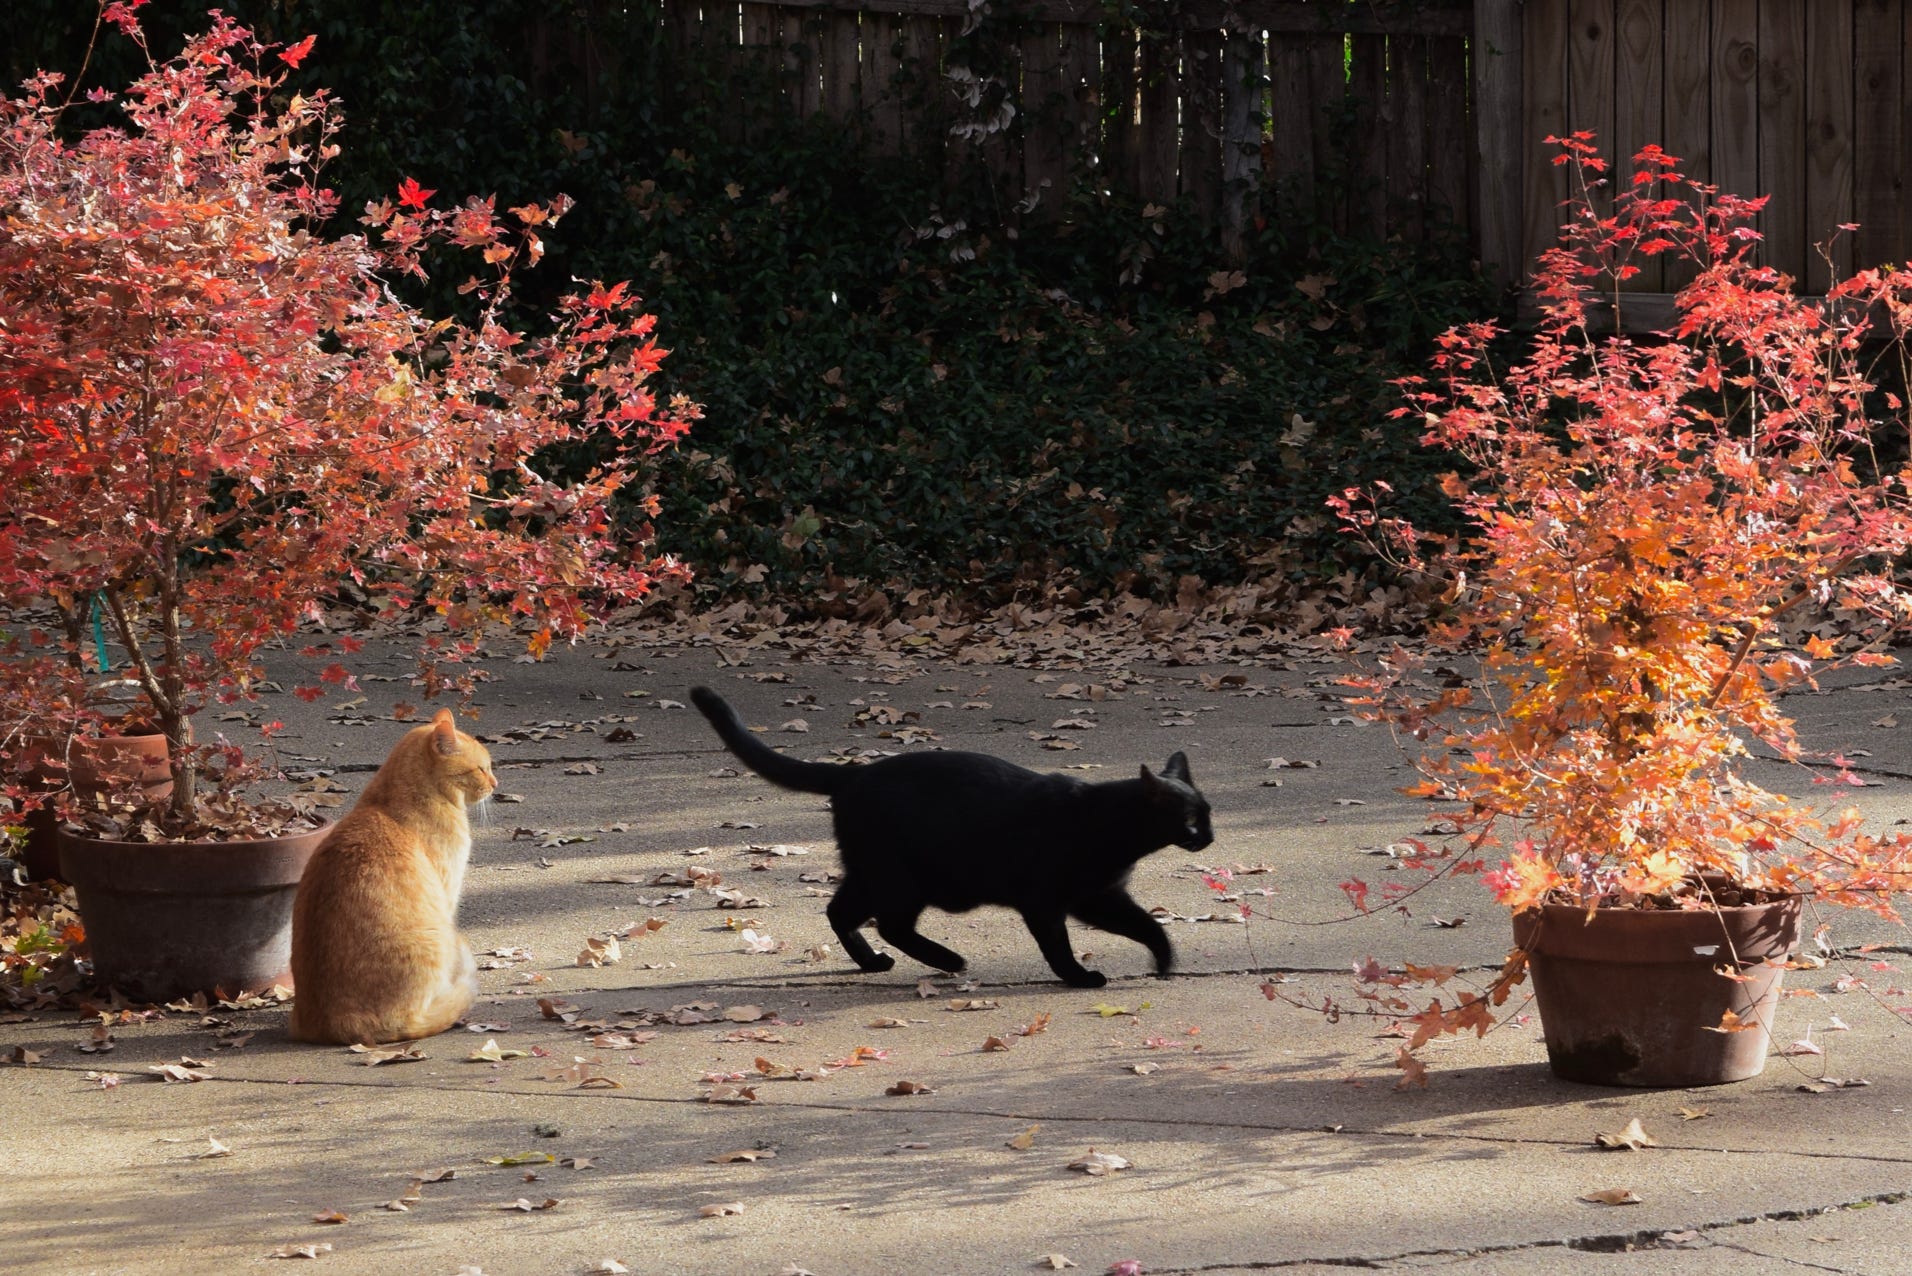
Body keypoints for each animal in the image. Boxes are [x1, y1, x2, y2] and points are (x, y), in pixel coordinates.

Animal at [284, 707, 497, 1048]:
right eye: (481, 768)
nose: (495, 783)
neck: (389, 802)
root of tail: (333, 1024)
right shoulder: (447, 896)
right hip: (436, 937)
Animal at [695, 688, 1216, 987]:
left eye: (1209, 815)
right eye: (1192, 820)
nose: (1209, 838)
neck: (1105, 823)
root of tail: (853, 774)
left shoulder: (1099, 896)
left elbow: (1145, 924)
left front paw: (1164, 962)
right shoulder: (1046, 900)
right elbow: (1057, 944)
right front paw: (1078, 977)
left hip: (873, 873)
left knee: (840, 912)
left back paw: (875, 964)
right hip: (901, 879)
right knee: (890, 924)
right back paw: (948, 960)